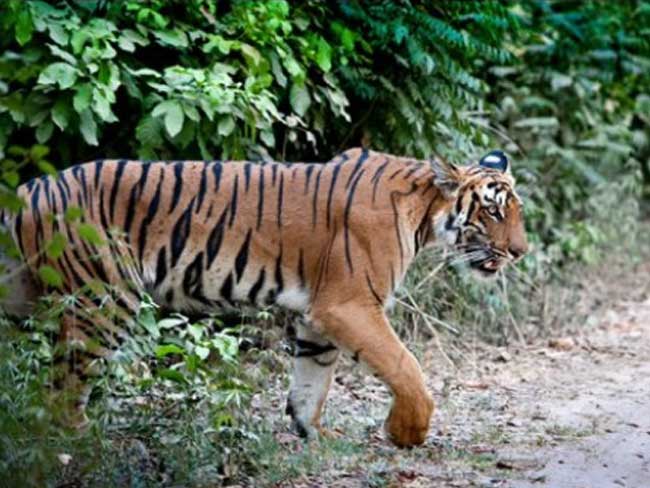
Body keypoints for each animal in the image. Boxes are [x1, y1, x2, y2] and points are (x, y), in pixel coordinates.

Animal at [0, 147, 527, 447]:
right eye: (494, 211)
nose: (520, 252)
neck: (423, 211)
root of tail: (27, 190)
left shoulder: (318, 318)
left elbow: (312, 380)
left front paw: (315, 434)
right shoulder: (350, 304)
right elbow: (405, 365)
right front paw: (406, 433)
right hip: (102, 303)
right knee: (61, 391)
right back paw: (83, 442)